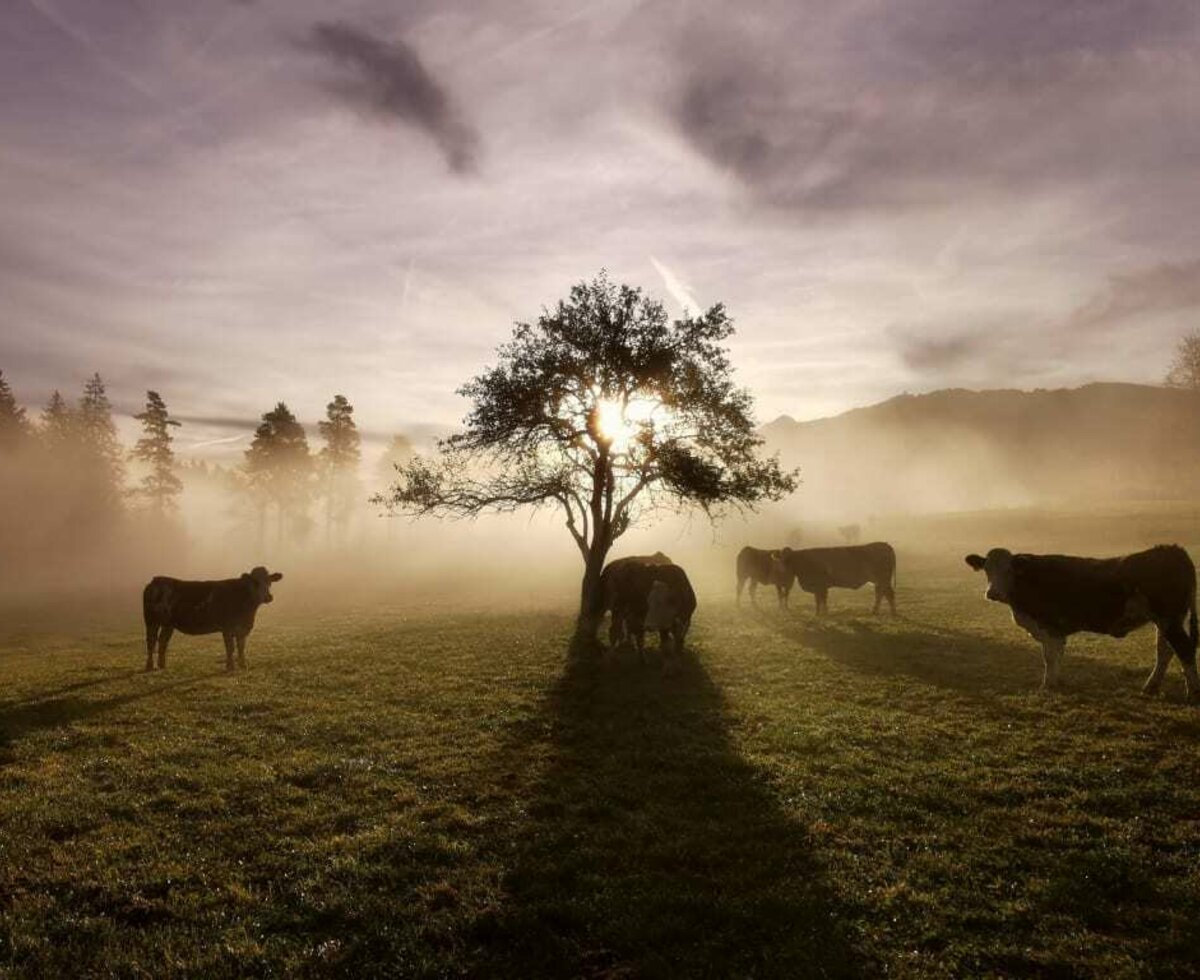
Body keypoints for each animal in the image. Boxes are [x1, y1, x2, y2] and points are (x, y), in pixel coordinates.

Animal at [142, 566, 283, 671]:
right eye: (255, 582)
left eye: (269, 582)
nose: (268, 597)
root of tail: (156, 580)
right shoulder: (227, 628)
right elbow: (230, 647)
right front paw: (230, 667)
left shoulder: (242, 628)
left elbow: (241, 646)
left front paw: (243, 665)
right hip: (151, 621)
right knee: (151, 641)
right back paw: (150, 666)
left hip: (168, 624)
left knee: (163, 641)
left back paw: (162, 665)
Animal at [964, 542, 1200, 695]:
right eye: (986, 570)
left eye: (1008, 570)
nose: (993, 593)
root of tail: (1172, 549)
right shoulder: (1055, 630)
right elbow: (1057, 655)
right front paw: (1057, 682)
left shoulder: (1049, 625)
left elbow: (1049, 657)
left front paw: (1047, 686)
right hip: (1166, 620)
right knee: (1165, 651)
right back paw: (1151, 687)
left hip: (1169, 619)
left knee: (1184, 650)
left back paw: (1192, 692)